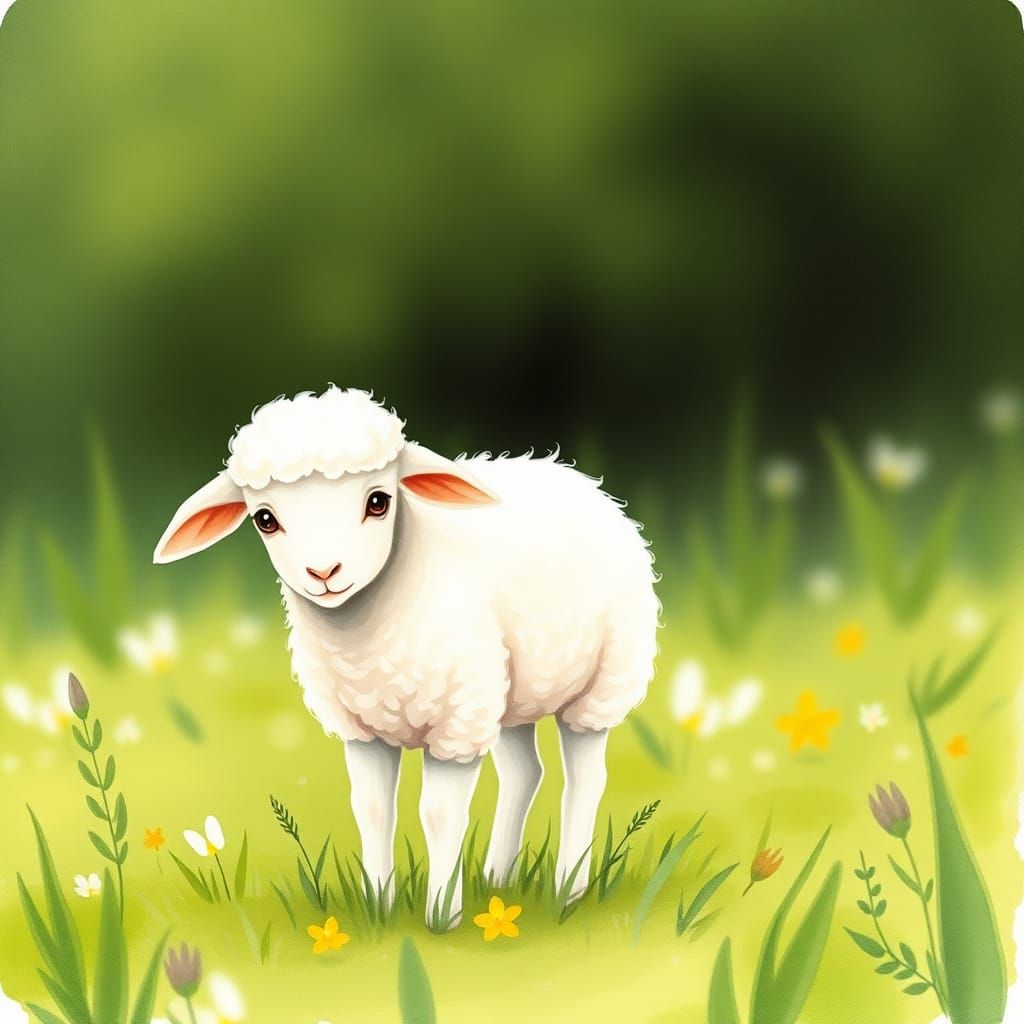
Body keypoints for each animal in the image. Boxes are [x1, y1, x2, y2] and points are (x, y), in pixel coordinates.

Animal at [154, 386, 659, 924]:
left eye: (378, 501)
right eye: (265, 519)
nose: (324, 572)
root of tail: (575, 477)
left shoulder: (455, 723)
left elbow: (438, 815)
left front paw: (442, 916)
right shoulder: (363, 729)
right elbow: (373, 809)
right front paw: (378, 907)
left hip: (602, 682)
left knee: (585, 779)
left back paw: (567, 889)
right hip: (506, 689)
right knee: (525, 772)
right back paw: (497, 879)